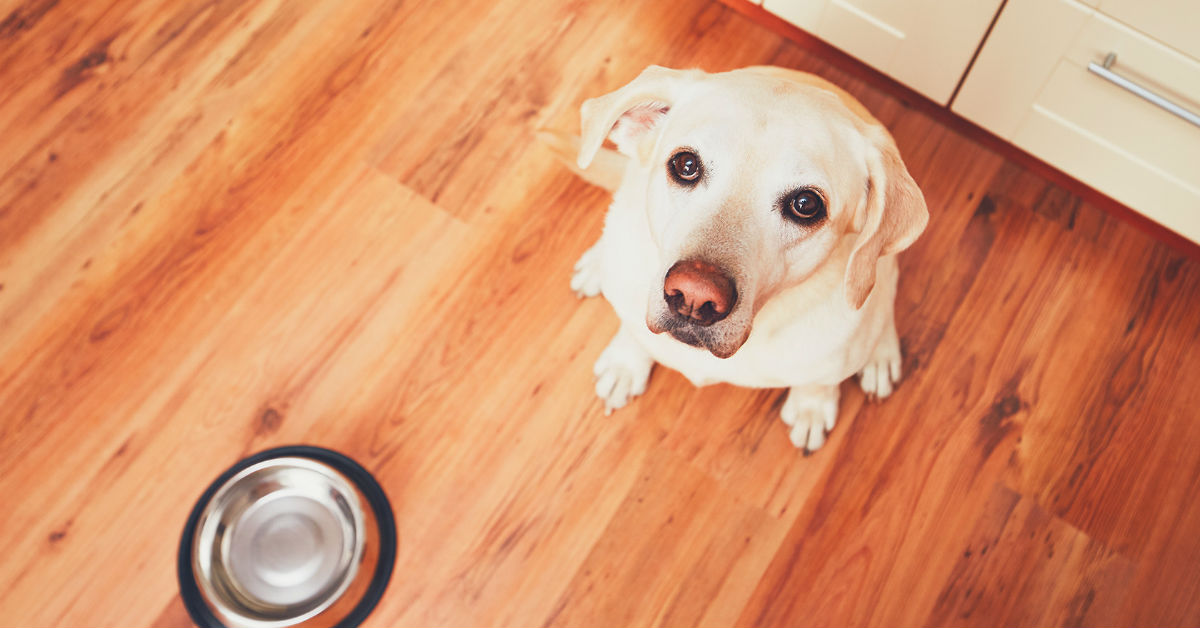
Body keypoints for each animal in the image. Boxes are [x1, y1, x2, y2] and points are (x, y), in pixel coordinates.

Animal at [552, 66, 926, 451]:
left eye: (805, 204)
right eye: (686, 164)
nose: (694, 296)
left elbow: (819, 382)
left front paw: (811, 408)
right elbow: (634, 333)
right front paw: (626, 363)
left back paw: (881, 354)